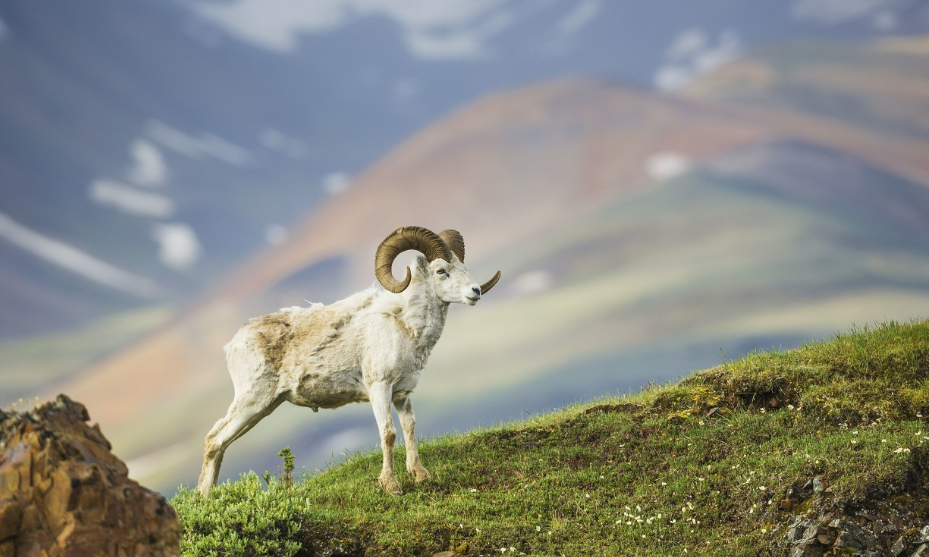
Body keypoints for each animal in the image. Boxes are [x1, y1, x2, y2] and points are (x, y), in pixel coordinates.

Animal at [198, 224, 500, 494]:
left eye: (463, 266)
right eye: (441, 271)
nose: (476, 291)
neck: (405, 327)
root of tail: (234, 344)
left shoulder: (402, 394)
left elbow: (409, 428)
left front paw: (420, 475)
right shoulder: (379, 388)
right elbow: (388, 433)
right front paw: (391, 486)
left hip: (264, 406)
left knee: (221, 443)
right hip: (253, 400)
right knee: (214, 439)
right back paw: (204, 498)